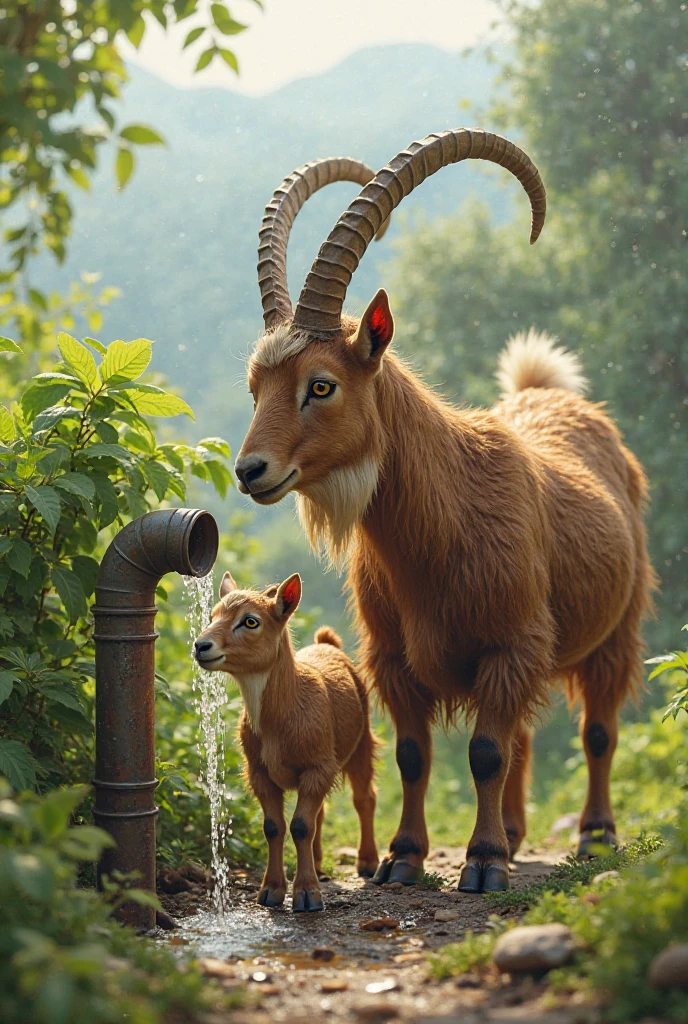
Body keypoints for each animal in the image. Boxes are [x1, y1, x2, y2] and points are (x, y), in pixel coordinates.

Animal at [193, 571, 379, 911]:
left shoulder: (317, 766)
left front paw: (307, 894)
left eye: (250, 621)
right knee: (321, 813)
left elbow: (300, 825)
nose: (201, 645)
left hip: (362, 740)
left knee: (364, 798)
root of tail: (327, 644)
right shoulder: (259, 771)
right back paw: (317, 864)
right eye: (212, 615)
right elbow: (275, 826)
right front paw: (271, 890)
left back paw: (368, 863)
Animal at [233, 130, 656, 893]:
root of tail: (549, 392)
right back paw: (513, 832)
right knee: (525, 735)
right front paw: (404, 858)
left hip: (617, 626)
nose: (251, 472)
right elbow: (415, 754)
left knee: (596, 730)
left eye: (321, 385)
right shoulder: (395, 656)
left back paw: (593, 834)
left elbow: (485, 751)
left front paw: (482, 864)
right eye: (257, 386)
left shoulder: (508, 643)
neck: (448, 521)